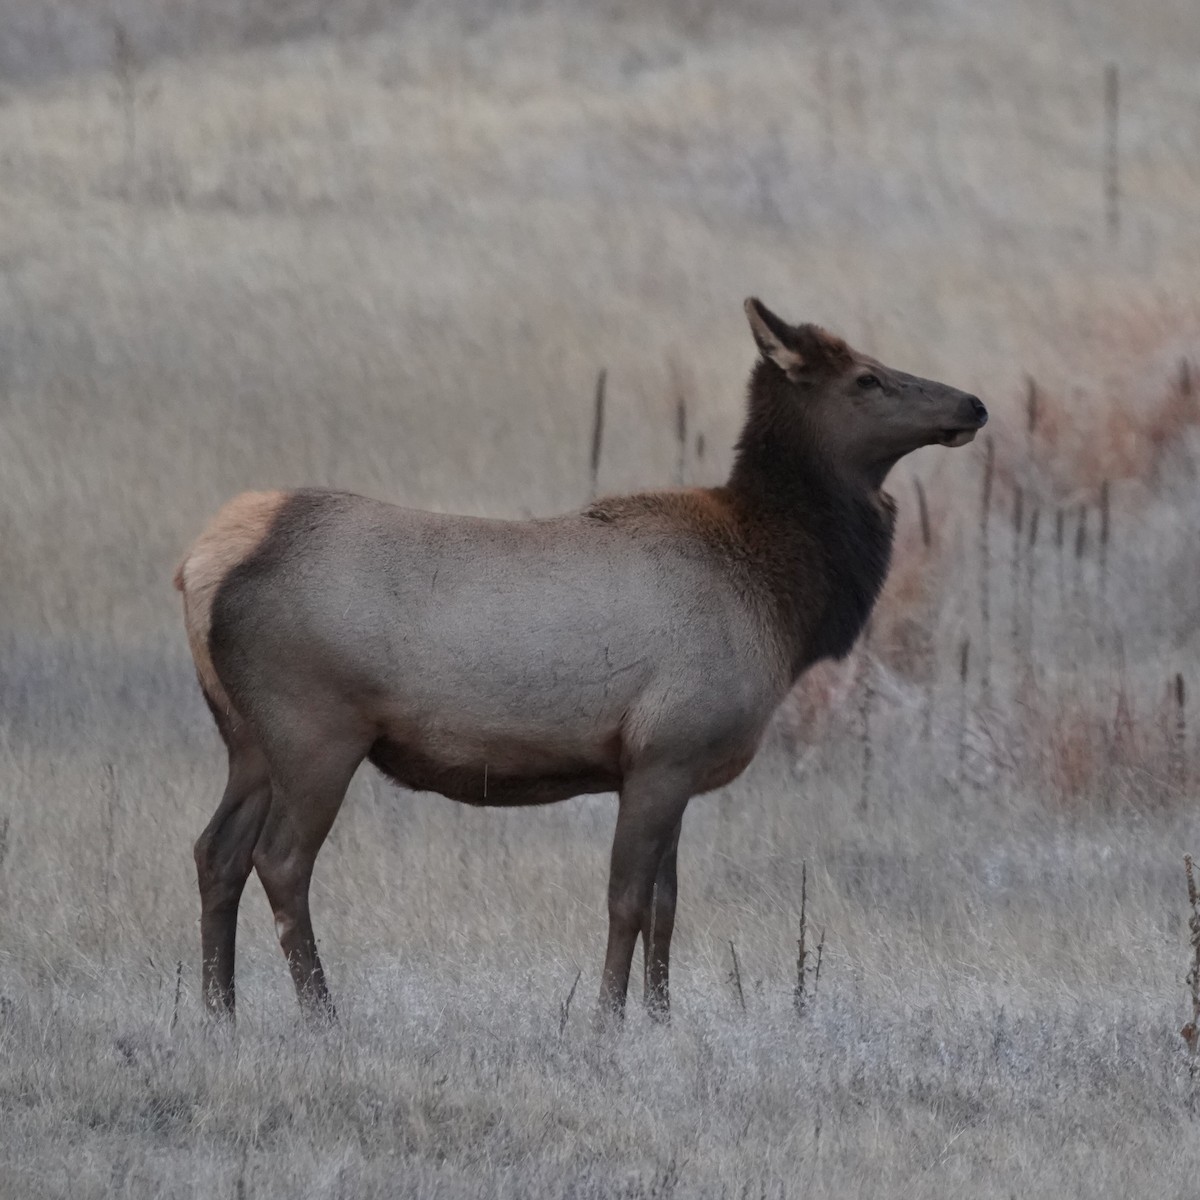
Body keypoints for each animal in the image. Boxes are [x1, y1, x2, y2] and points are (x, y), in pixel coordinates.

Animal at [175, 298, 986, 1025]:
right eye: (867, 379)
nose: (973, 403)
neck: (780, 607)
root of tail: (201, 566)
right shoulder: (665, 749)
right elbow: (627, 899)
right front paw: (608, 1019)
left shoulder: (671, 765)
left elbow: (666, 902)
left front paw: (660, 1018)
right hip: (316, 728)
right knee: (280, 861)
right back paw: (321, 1013)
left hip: (247, 737)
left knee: (216, 852)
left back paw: (219, 1012)